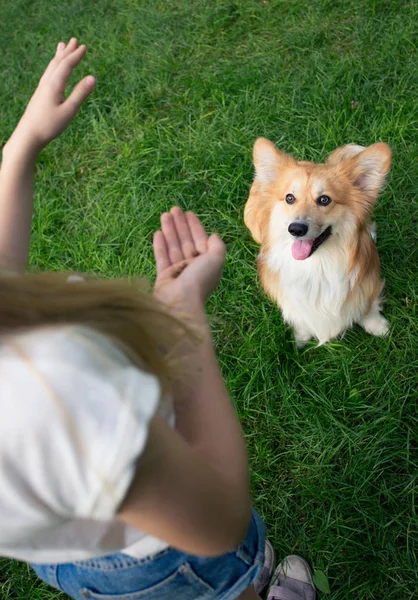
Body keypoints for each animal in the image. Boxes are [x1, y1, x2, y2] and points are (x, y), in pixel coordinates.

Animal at [245, 139, 392, 346]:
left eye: (324, 199)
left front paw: (378, 327)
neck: (318, 265)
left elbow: (368, 307)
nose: (296, 229)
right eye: (289, 198)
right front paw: (301, 337)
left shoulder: (367, 283)